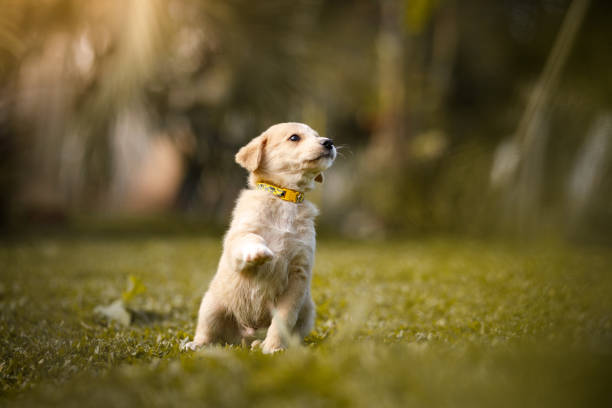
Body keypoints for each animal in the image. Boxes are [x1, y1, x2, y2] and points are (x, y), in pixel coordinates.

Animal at [184, 121, 338, 354]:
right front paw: (259, 251)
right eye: (294, 138)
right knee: (208, 333)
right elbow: (250, 239)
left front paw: (273, 348)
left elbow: (282, 320)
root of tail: (246, 335)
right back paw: (196, 344)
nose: (329, 142)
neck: (284, 198)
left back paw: (261, 344)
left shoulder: (298, 274)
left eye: (317, 135)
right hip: (211, 306)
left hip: (307, 313)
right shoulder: (238, 238)